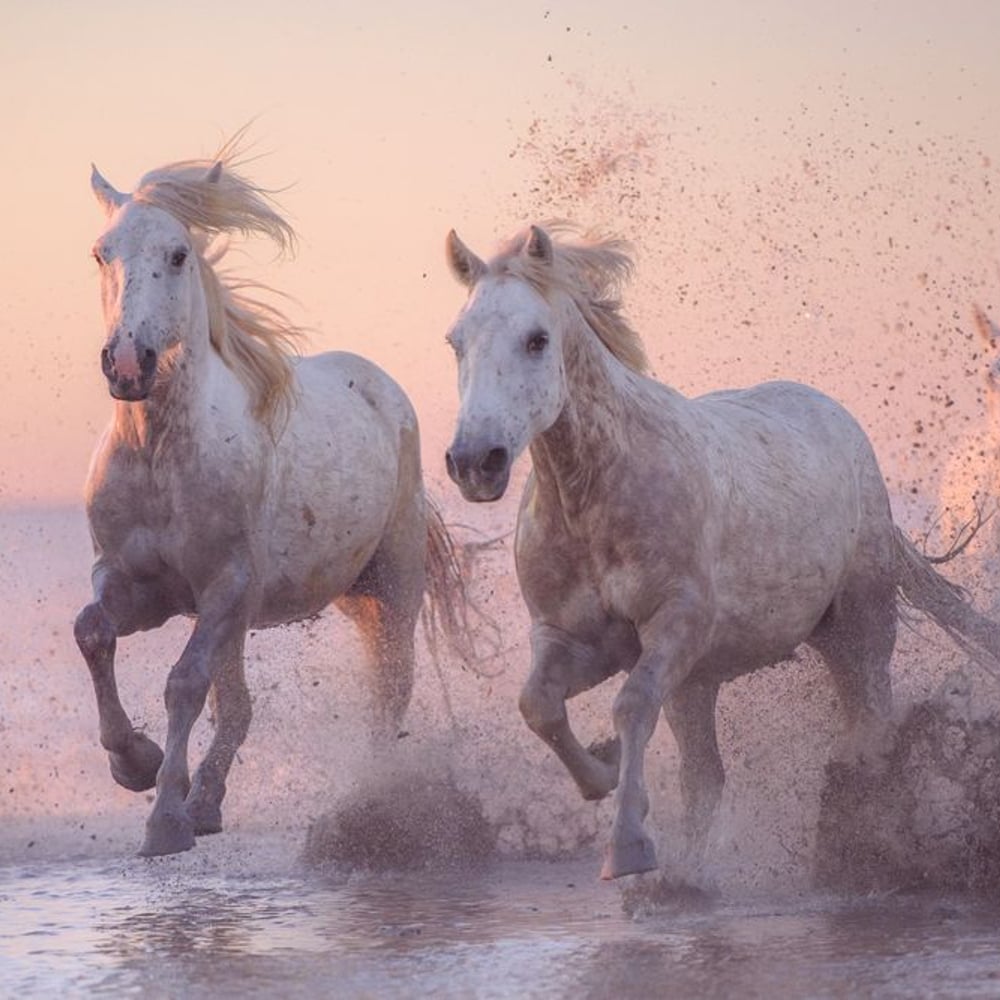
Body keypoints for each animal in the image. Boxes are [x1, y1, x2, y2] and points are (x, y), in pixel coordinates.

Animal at [75, 137, 469, 857]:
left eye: (178, 254)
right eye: (101, 253)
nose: (128, 364)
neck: (160, 459)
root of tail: (379, 386)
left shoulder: (225, 586)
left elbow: (184, 684)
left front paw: (163, 820)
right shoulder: (134, 585)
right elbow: (93, 633)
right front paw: (135, 764)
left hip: (392, 587)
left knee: (389, 693)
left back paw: (366, 805)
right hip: (299, 606)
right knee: (241, 708)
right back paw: (206, 801)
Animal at [442, 222, 1000, 880]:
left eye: (536, 339)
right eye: (456, 342)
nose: (475, 462)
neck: (598, 497)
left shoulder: (677, 624)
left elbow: (632, 706)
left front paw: (627, 847)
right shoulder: (573, 639)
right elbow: (539, 706)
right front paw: (603, 773)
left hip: (859, 629)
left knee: (870, 730)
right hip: (706, 680)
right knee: (707, 776)